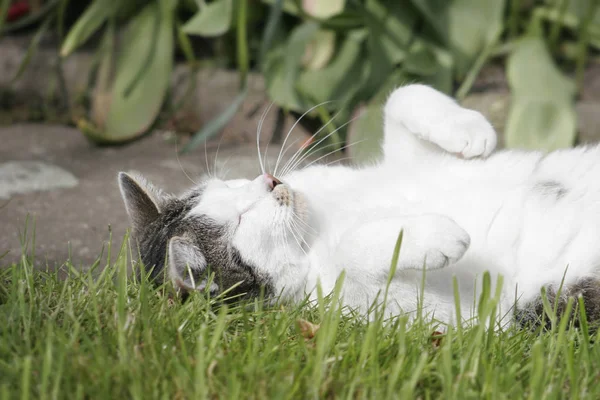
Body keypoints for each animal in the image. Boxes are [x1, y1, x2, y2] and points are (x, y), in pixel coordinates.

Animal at [118, 84, 600, 328]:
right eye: (241, 219)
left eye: (230, 185)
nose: (272, 181)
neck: (316, 222)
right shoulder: (438, 314)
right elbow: (350, 250)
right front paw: (440, 233)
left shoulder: (408, 166)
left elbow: (402, 93)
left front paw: (471, 129)